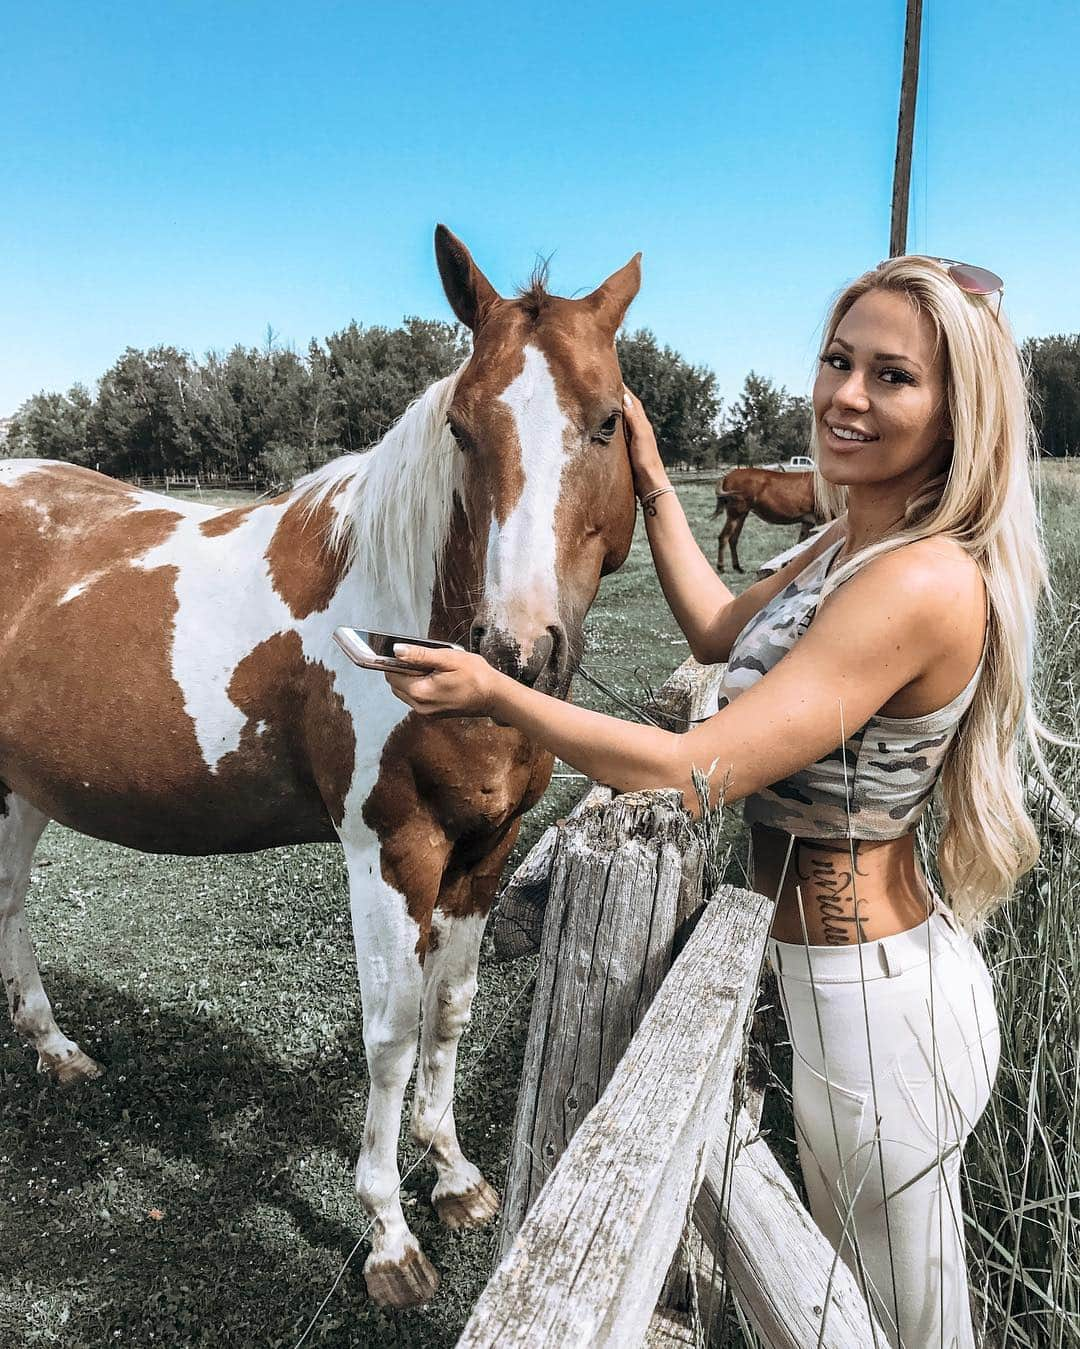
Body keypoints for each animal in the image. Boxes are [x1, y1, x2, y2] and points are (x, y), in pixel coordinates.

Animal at [0, 226, 641, 1311]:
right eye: (464, 429)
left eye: (604, 422)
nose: (516, 648)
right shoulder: (391, 850)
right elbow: (390, 1030)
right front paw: (388, 1234)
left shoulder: (485, 849)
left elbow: (452, 1008)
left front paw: (455, 1177)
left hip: (22, 789)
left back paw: (55, 1048)